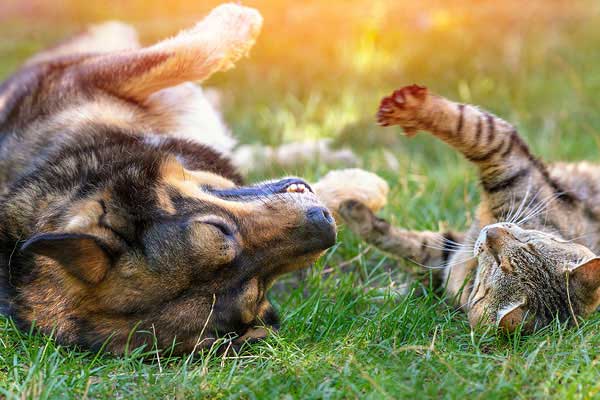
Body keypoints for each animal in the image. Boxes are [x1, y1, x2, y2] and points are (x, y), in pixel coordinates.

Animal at [0, 3, 338, 354]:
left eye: (217, 228)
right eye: (255, 290)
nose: (324, 222)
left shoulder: (78, 76)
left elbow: (173, 56)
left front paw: (237, 21)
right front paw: (241, 18)